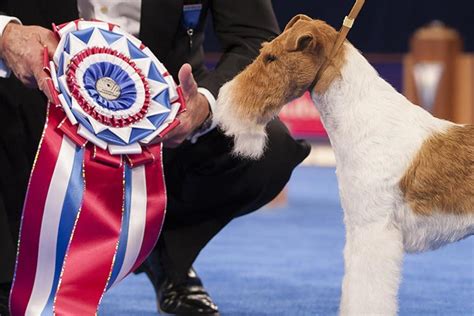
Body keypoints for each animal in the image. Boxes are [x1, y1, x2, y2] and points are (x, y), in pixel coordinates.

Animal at [214, 14, 474, 316]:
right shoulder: (357, 227)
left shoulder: (374, 229)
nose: (222, 99)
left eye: (271, 57)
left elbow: (368, 294)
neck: (366, 119)